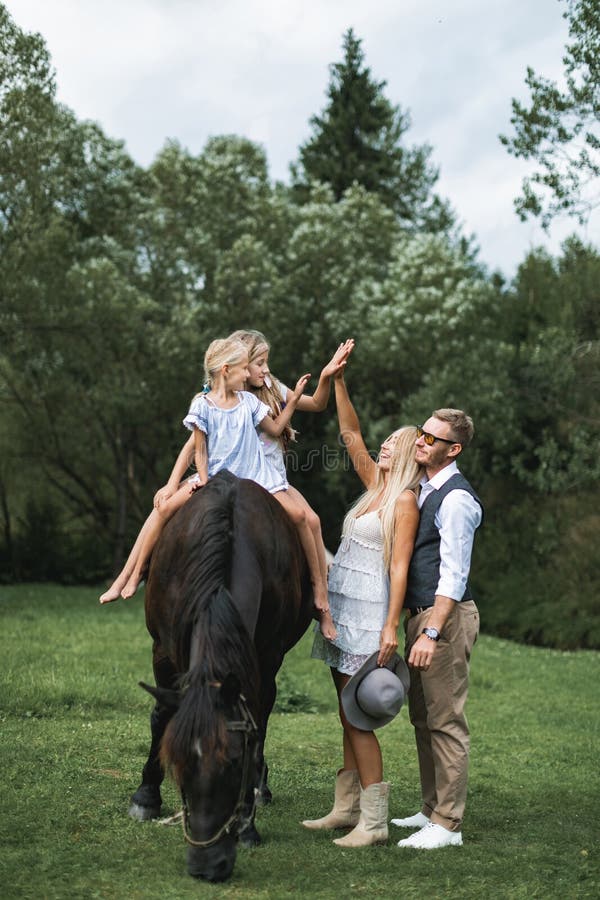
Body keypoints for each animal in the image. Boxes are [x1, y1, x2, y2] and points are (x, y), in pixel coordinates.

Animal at [127, 472, 314, 880]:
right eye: (179, 762)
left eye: (233, 763)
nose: (207, 865)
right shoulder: (162, 650)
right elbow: (161, 716)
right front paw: (146, 797)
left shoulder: (266, 659)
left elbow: (257, 729)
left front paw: (247, 824)